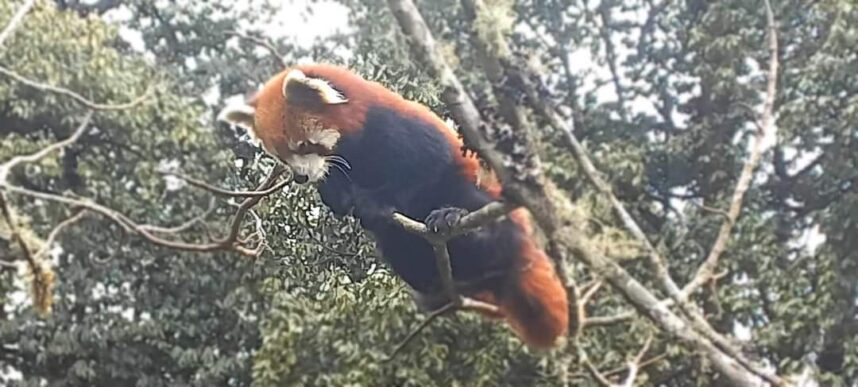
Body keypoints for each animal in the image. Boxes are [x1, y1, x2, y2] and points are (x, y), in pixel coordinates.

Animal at [217, 63, 564, 348]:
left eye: (303, 145)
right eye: (282, 156)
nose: (301, 178)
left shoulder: (399, 129)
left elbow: (423, 167)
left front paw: (376, 201)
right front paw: (337, 195)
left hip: (481, 195)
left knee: (481, 213)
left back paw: (462, 223)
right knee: (399, 249)